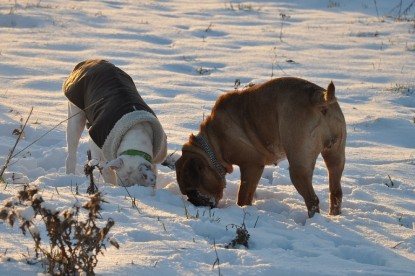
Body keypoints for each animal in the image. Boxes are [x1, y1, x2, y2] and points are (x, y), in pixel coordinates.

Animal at [176, 76, 348, 217]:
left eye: (193, 192)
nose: (193, 203)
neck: (213, 143)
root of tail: (318, 97)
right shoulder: (255, 169)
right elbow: (249, 193)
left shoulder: (251, 166)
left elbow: (243, 195)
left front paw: (242, 209)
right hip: (335, 157)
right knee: (336, 192)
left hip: (299, 167)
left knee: (312, 200)